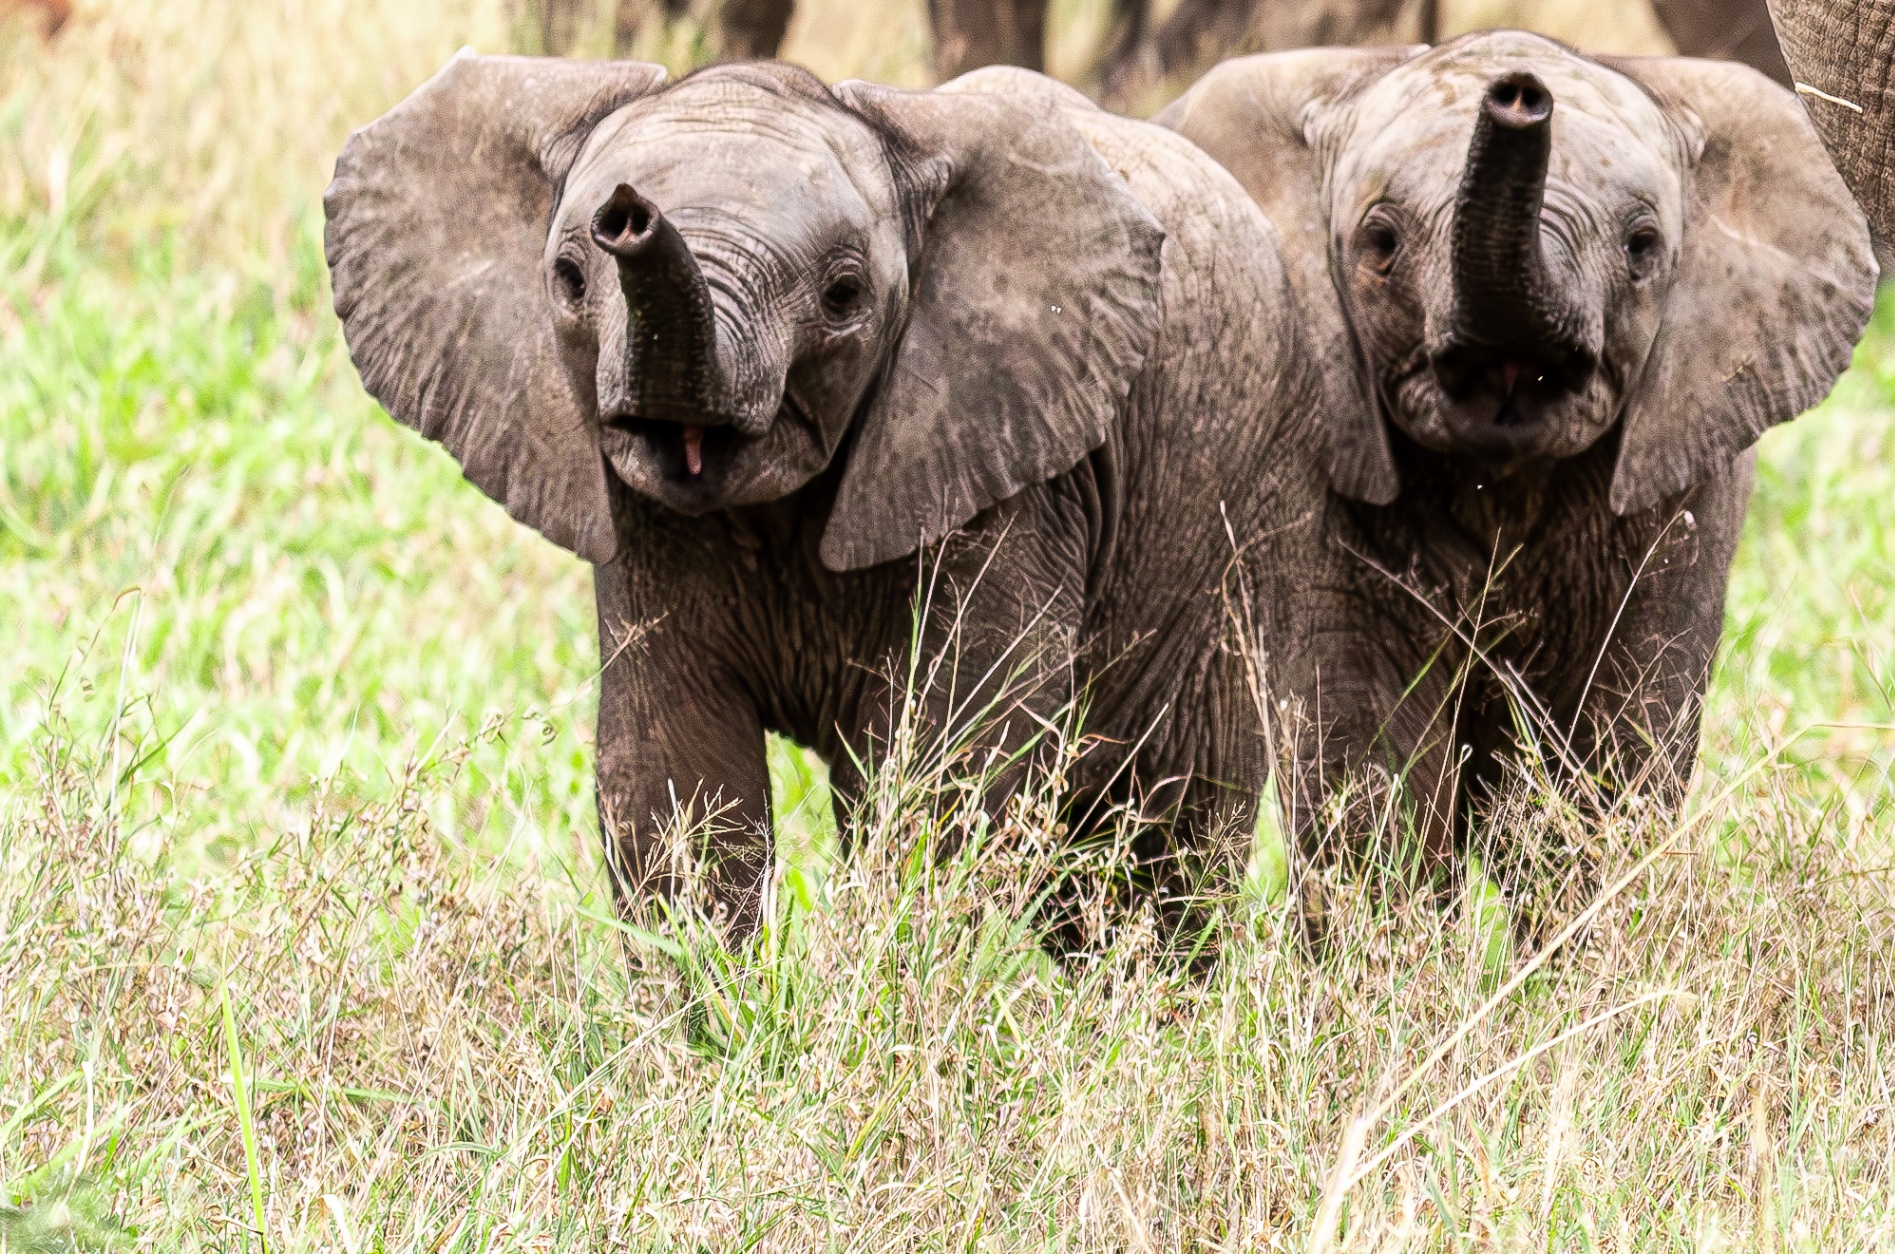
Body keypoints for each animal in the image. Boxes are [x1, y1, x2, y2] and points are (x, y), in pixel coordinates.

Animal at [324, 57, 1326, 937]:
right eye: (569, 280)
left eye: (845, 295)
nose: (628, 214)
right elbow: (673, 775)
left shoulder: (1020, 470)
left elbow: (953, 768)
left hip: (1237, 511)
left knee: (1157, 837)